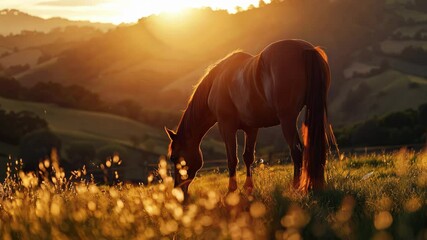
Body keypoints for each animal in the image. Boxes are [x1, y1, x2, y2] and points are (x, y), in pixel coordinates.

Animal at [166, 39, 336, 197]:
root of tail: (306, 49)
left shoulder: (226, 127)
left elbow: (232, 159)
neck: (217, 81)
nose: (178, 191)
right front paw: (248, 188)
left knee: (297, 151)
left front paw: (231, 191)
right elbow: (248, 157)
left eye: (174, 157)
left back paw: (295, 188)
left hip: (287, 118)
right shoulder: (252, 128)